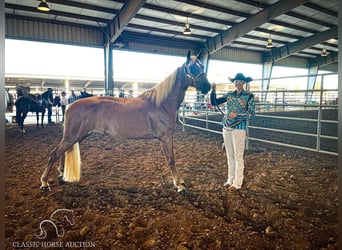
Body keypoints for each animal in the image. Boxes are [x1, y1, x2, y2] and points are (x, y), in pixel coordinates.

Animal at [40, 50, 211, 194]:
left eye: (202, 66)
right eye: (192, 68)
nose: (207, 87)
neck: (161, 103)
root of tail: (70, 105)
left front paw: (180, 181)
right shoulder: (165, 137)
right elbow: (171, 160)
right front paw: (179, 186)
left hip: (77, 137)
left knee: (62, 153)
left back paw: (61, 175)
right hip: (72, 137)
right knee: (54, 154)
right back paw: (44, 183)